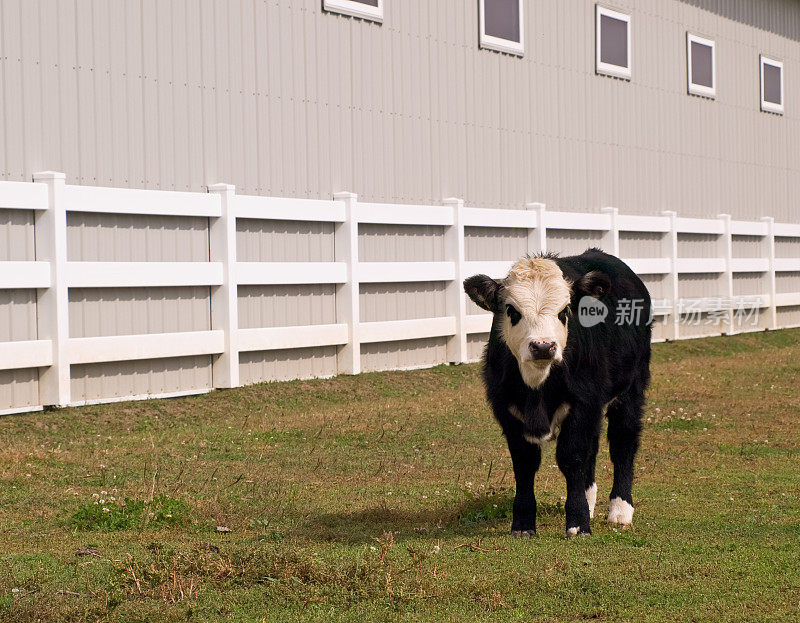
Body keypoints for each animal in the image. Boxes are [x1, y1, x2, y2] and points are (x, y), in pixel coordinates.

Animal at [466, 249, 652, 536]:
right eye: (511, 310)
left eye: (564, 310)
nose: (543, 346)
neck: (537, 389)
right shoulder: (507, 410)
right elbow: (525, 463)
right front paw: (523, 523)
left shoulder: (583, 403)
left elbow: (572, 458)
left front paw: (577, 522)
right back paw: (589, 500)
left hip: (631, 389)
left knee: (623, 443)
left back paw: (620, 510)